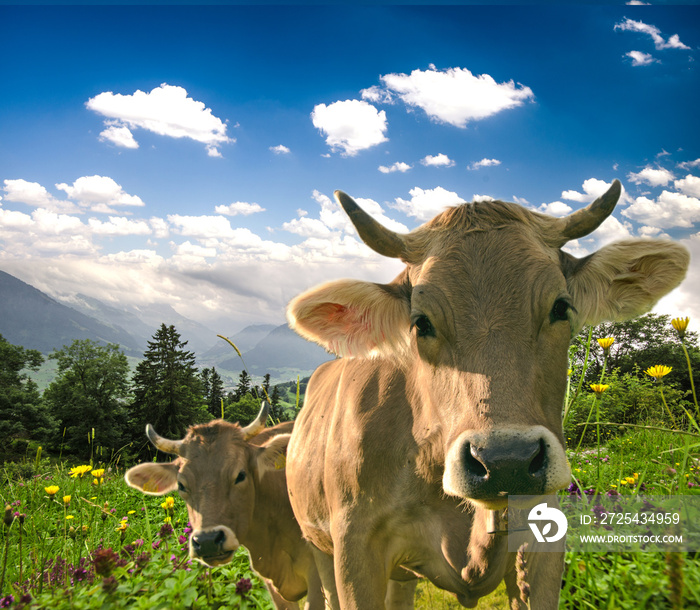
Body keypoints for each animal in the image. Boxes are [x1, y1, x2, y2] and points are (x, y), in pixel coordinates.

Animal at [286, 182, 688, 608]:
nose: (507, 461)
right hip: (317, 545)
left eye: (561, 307)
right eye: (420, 323)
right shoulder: (355, 549)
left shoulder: (543, 543)